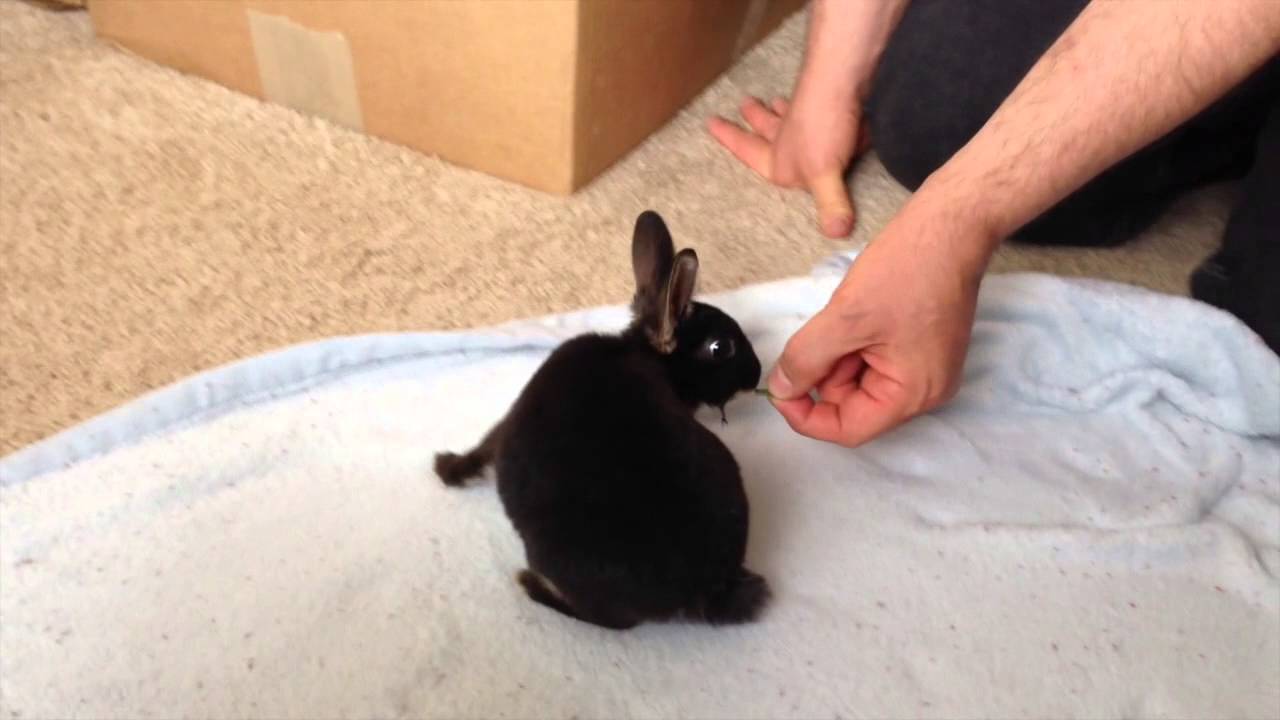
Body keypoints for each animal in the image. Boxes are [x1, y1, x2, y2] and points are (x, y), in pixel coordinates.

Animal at [434, 210, 769, 631]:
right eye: (720, 348)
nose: (757, 374)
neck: (644, 353)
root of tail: (706, 591)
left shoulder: (508, 422)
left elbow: (485, 446)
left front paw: (447, 468)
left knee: (610, 622)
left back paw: (532, 585)